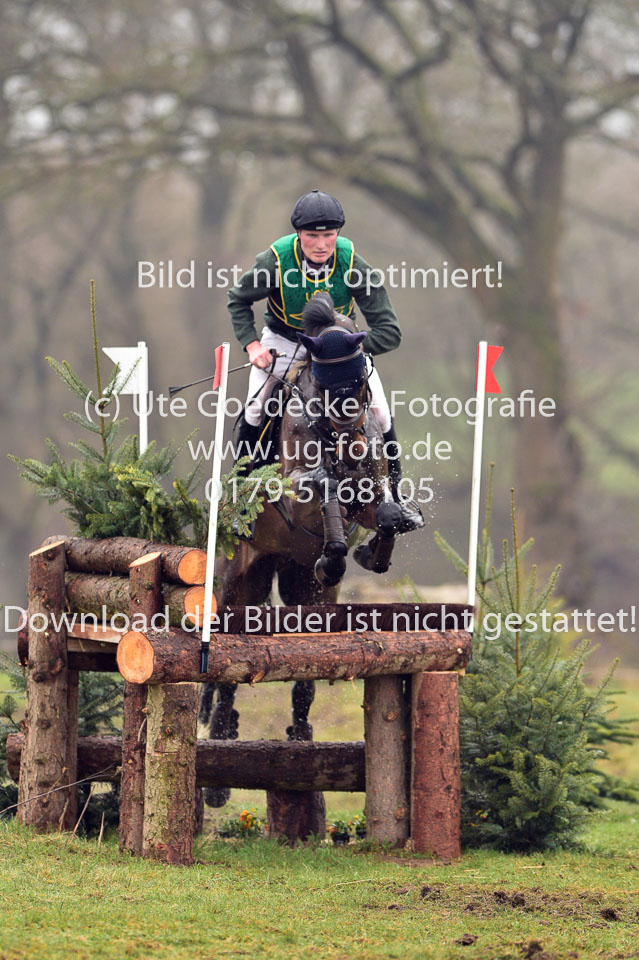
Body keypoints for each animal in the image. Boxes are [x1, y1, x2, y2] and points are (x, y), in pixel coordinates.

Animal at [199, 292, 409, 804]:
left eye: (361, 382)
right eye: (327, 386)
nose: (353, 443)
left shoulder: (368, 492)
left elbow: (385, 513)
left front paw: (366, 553)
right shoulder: (297, 489)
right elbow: (323, 486)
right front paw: (334, 553)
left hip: (303, 592)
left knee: (304, 673)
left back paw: (300, 735)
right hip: (240, 583)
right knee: (228, 669)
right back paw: (220, 755)